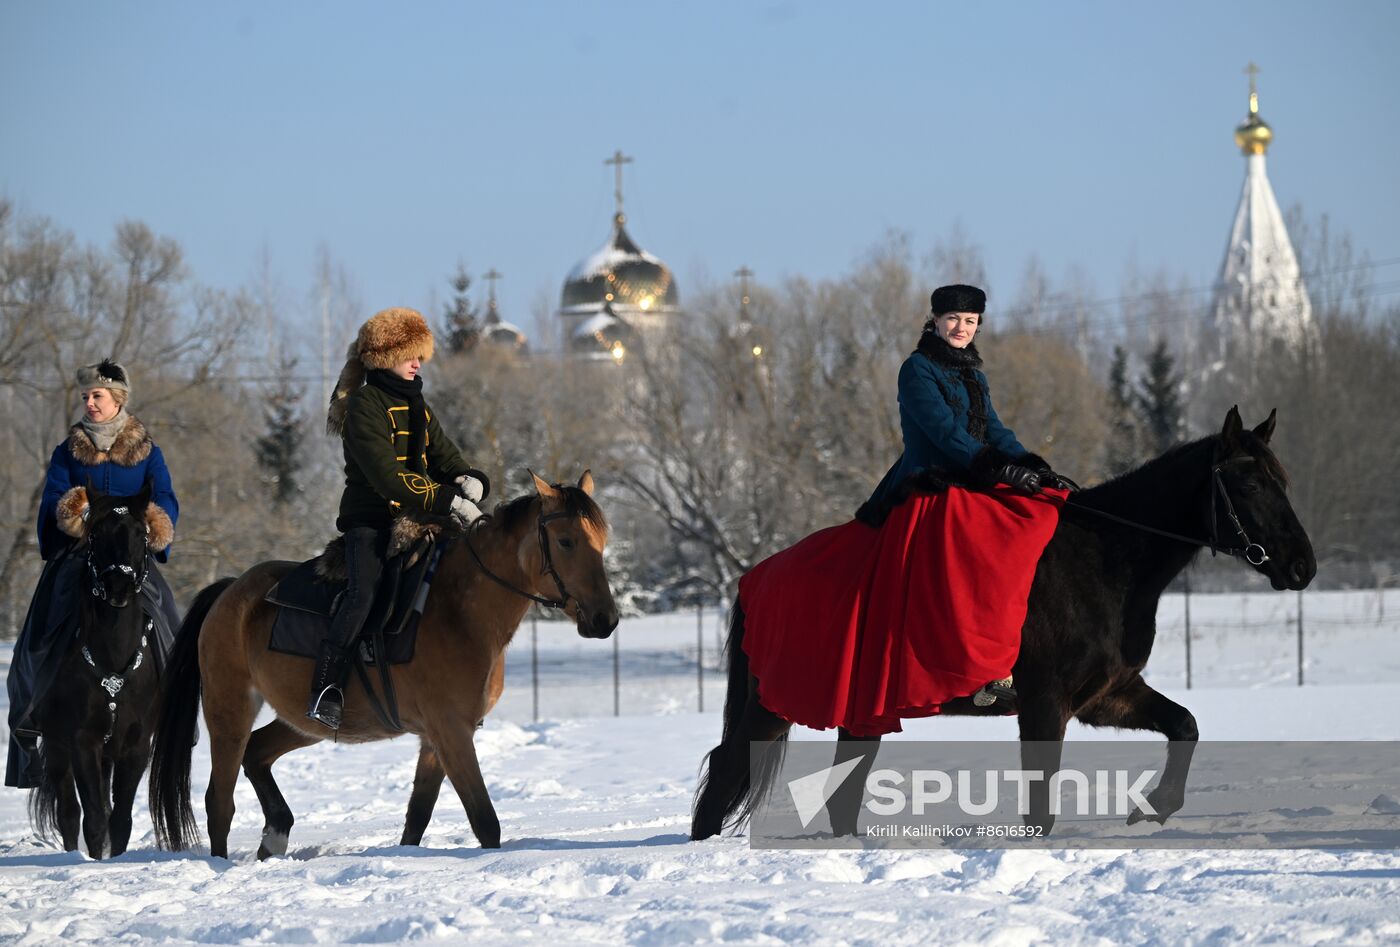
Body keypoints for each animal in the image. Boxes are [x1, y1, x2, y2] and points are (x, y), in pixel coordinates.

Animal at [27, 484, 170, 862]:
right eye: (96, 534)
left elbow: (119, 818)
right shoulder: (82, 741)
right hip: (57, 746)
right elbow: (92, 816)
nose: (118, 584)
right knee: (68, 811)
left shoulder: (135, 746)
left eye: (141, 534)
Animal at [146, 473, 618, 857]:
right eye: (566, 541)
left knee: (257, 754)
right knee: (219, 802)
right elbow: (485, 822)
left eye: (603, 540)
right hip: (229, 708)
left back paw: (277, 833)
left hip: (303, 720)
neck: (461, 609)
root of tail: (230, 590)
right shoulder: (451, 731)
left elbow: (417, 818)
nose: (606, 619)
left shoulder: (436, 738)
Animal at [694, 411, 1316, 840]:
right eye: (1250, 485)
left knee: (839, 788)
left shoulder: (1105, 696)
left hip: (861, 713)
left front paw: (1151, 809)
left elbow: (1184, 725)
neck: (1104, 557)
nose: (1302, 567)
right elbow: (1040, 804)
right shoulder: (1045, 702)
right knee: (727, 766)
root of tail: (756, 578)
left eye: (1285, 481)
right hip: (773, 704)